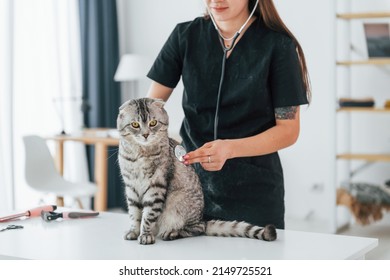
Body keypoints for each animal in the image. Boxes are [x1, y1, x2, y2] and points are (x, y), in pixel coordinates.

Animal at [117, 97, 276, 244]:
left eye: (153, 123)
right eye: (135, 125)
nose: (145, 135)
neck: (139, 154)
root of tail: (202, 219)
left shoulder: (156, 186)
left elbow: (148, 215)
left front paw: (145, 234)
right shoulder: (131, 187)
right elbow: (135, 213)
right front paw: (134, 231)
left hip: (178, 204)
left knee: (196, 229)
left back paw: (172, 233)